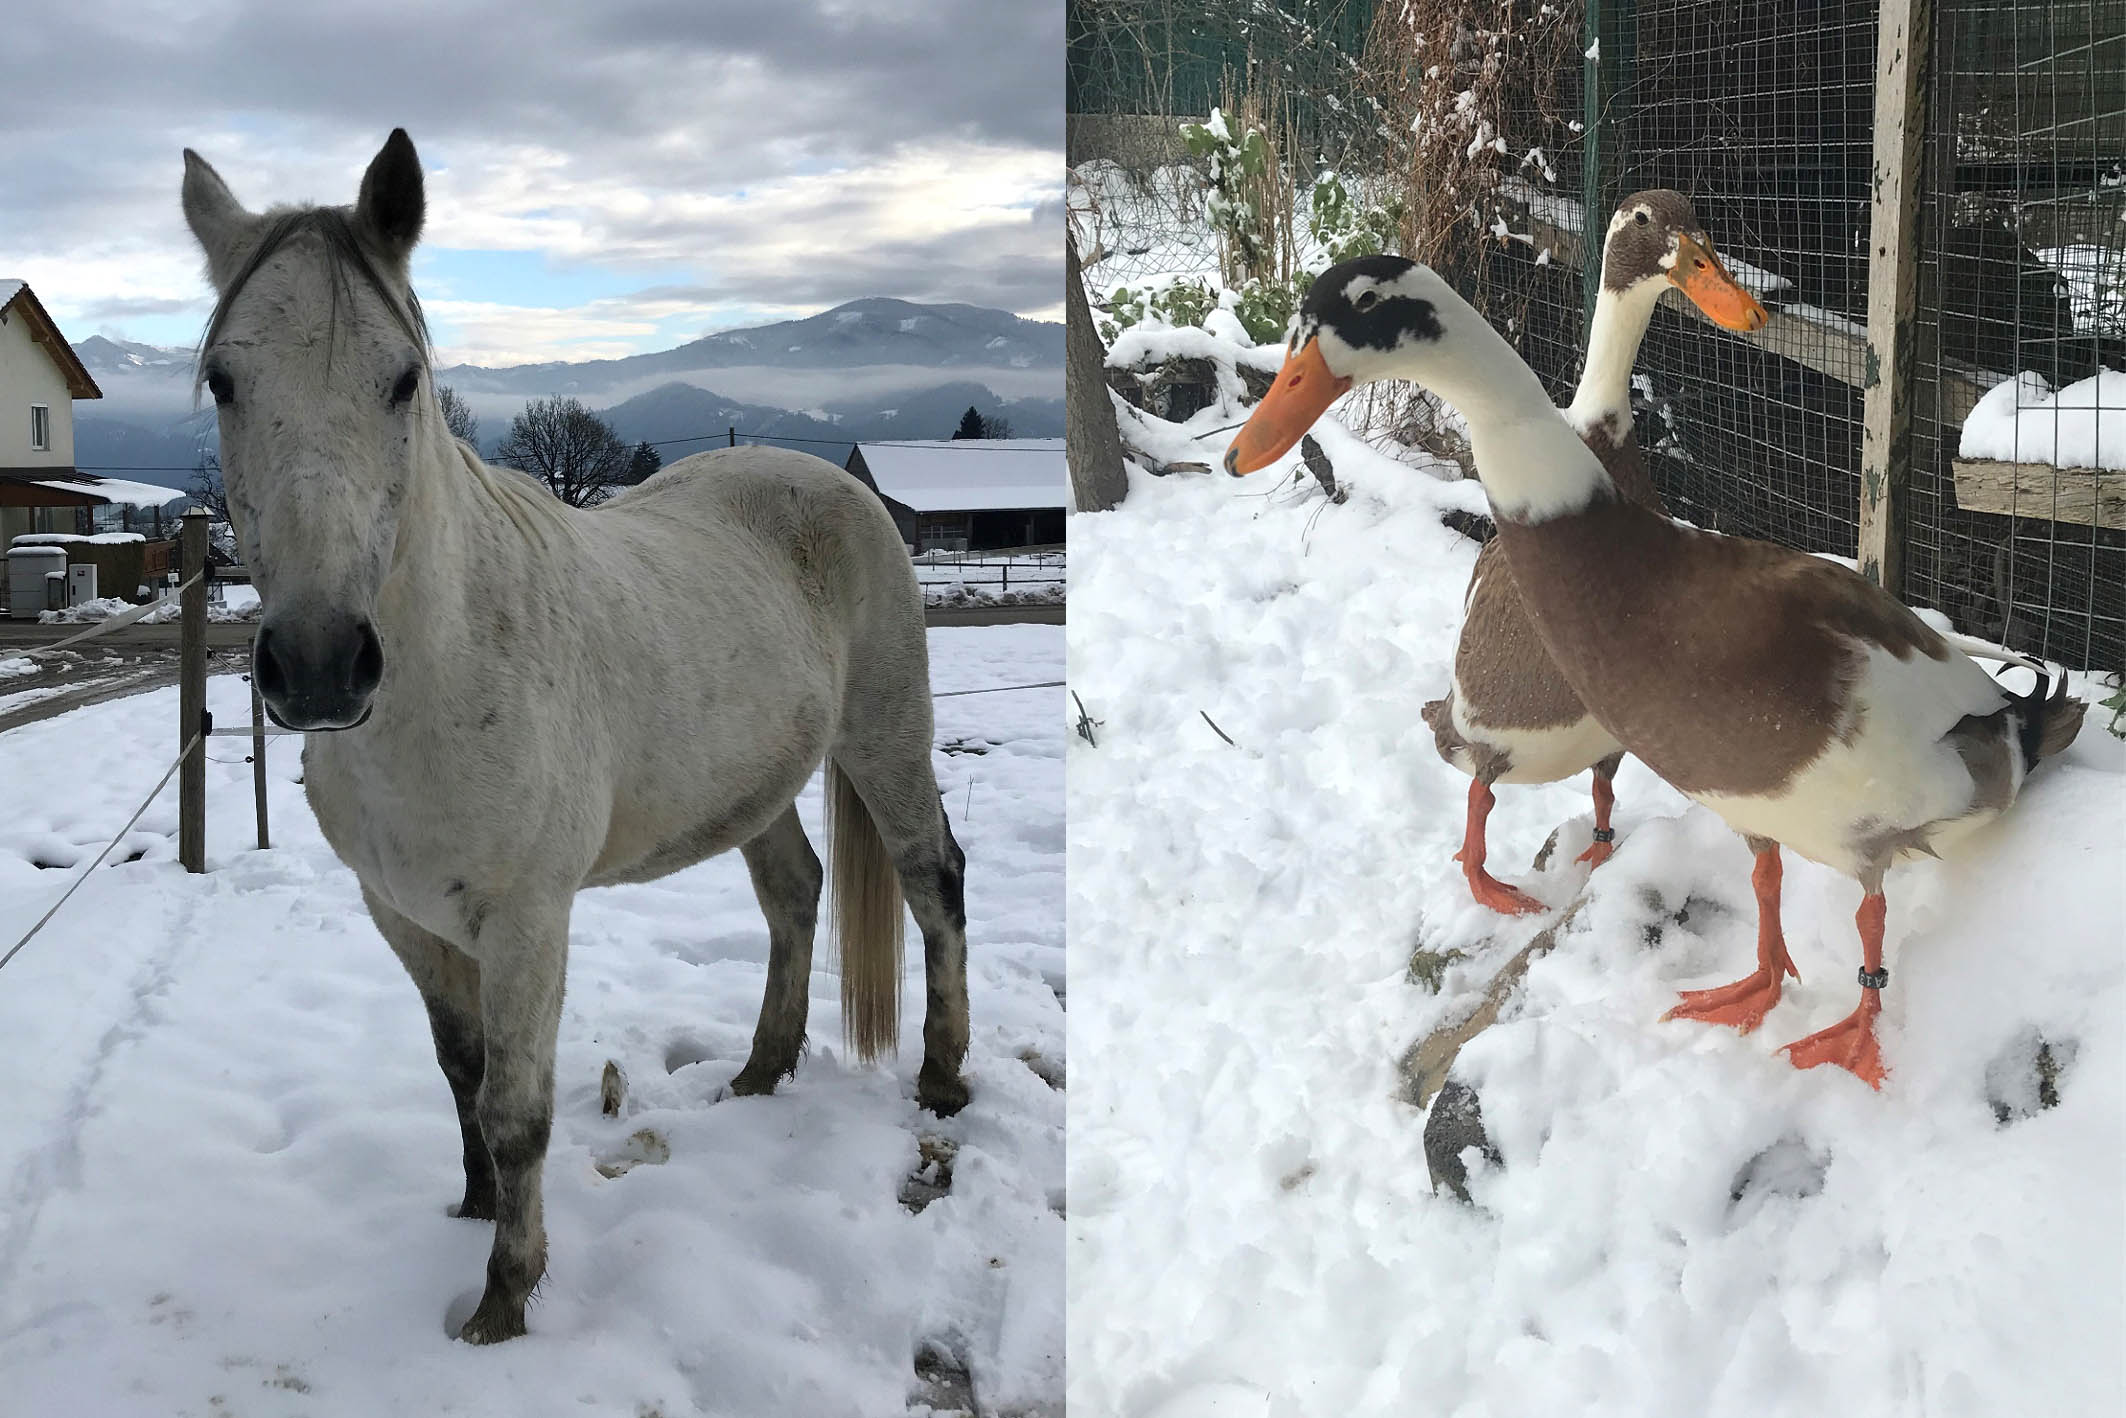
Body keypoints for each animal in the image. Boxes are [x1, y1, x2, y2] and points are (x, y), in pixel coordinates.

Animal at [182, 130, 973, 1343]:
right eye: (225, 379)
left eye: (402, 379)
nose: (317, 666)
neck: (444, 672)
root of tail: (835, 482)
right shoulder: (403, 916)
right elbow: (459, 1071)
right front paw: (470, 1204)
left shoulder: (526, 923)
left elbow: (517, 1107)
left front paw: (504, 1298)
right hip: (753, 781)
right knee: (794, 891)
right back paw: (760, 1071)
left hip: (886, 741)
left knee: (935, 881)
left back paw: (940, 1080)